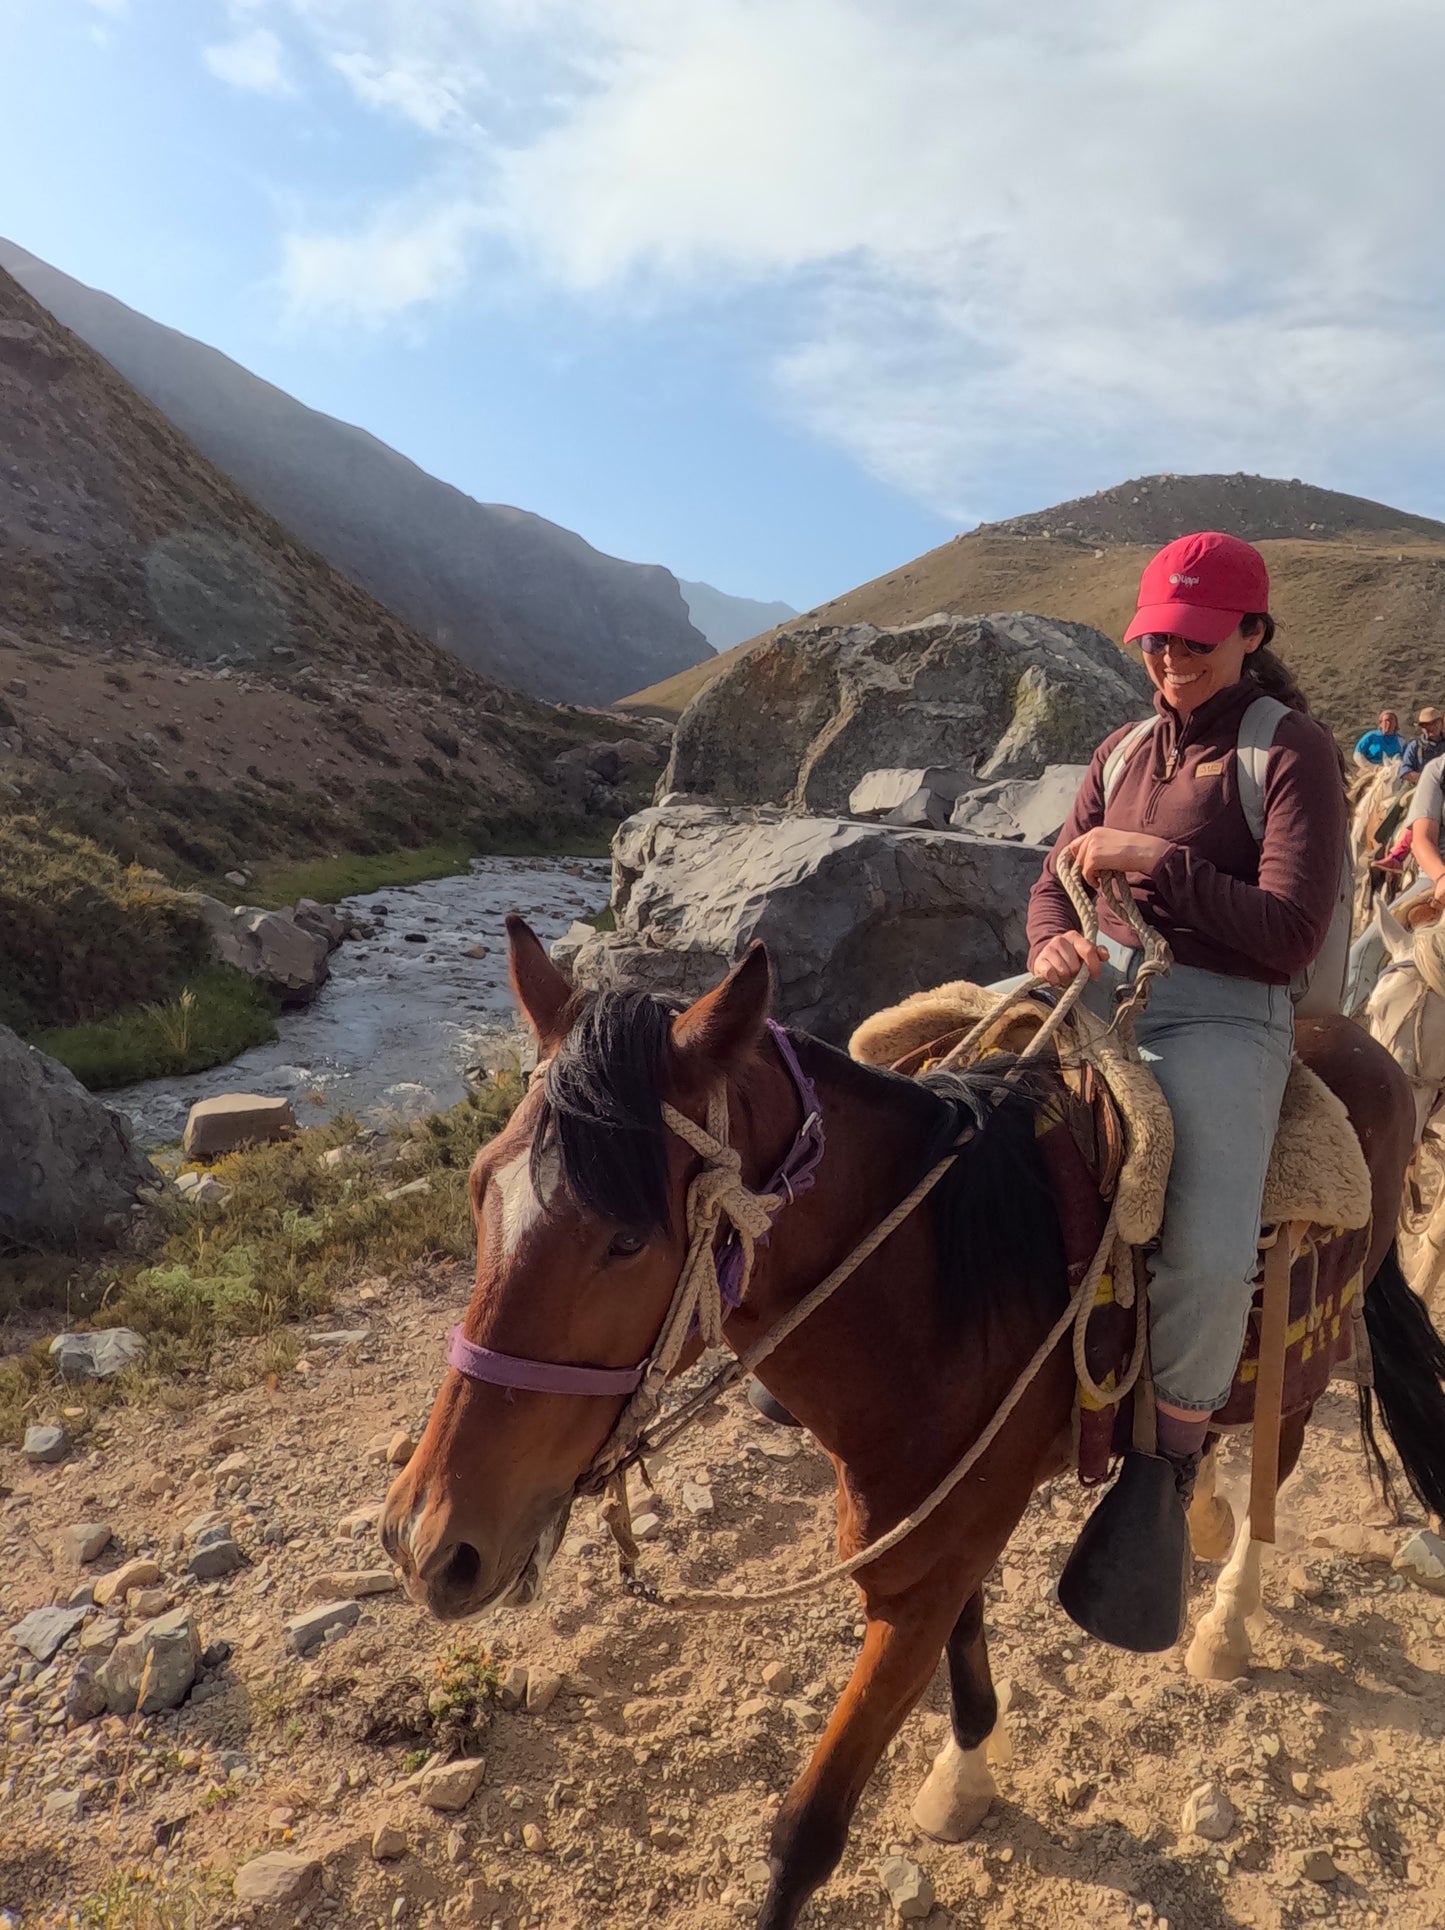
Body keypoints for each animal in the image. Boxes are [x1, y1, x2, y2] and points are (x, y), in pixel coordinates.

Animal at [385, 918, 1445, 1930]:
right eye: (478, 1187)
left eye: (628, 1238)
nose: (428, 1542)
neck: (939, 1283)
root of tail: (1359, 1040)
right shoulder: (931, 1530)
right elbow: (966, 1643)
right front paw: (965, 1776)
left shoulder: (925, 1571)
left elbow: (807, 1832)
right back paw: (1202, 1515)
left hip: (1303, 1357)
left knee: (1279, 1458)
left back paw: (1223, 1618)